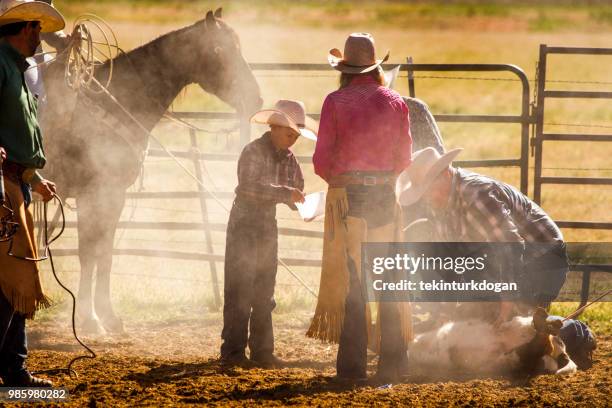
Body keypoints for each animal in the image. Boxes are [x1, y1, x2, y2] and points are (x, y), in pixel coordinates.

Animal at [41, 7, 262, 334]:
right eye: (219, 50)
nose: (255, 98)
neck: (114, 101)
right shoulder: (94, 194)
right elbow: (88, 252)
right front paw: (90, 318)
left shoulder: (115, 195)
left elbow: (105, 253)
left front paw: (107, 315)